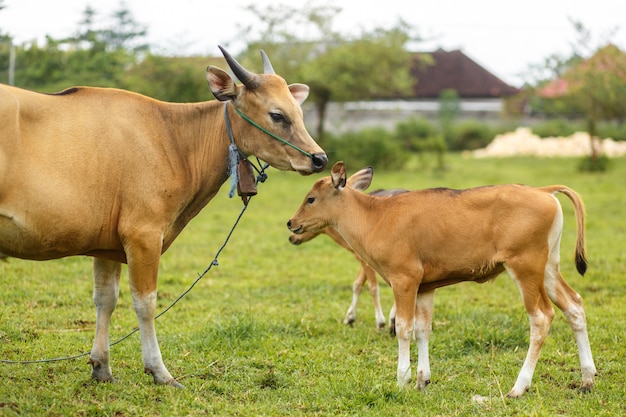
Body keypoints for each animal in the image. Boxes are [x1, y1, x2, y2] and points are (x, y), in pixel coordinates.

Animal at [1, 46, 326, 386]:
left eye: (299, 112)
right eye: (277, 115)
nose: (319, 158)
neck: (173, 138)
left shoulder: (105, 246)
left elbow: (105, 299)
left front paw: (101, 366)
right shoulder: (143, 236)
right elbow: (145, 303)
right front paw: (159, 371)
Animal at [288, 160, 596, 396]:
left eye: (311, 198)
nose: (291, 223)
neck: (377, 215)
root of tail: (542, 191)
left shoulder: (404, 280)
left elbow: (404, 328)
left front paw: (402, 379)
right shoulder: (425, 288)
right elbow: (423, 330)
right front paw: (422, 380)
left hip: (526, 268)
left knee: (541, 317)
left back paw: (519, 387)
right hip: (548, 268)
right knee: (574, 306)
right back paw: (587, 379)